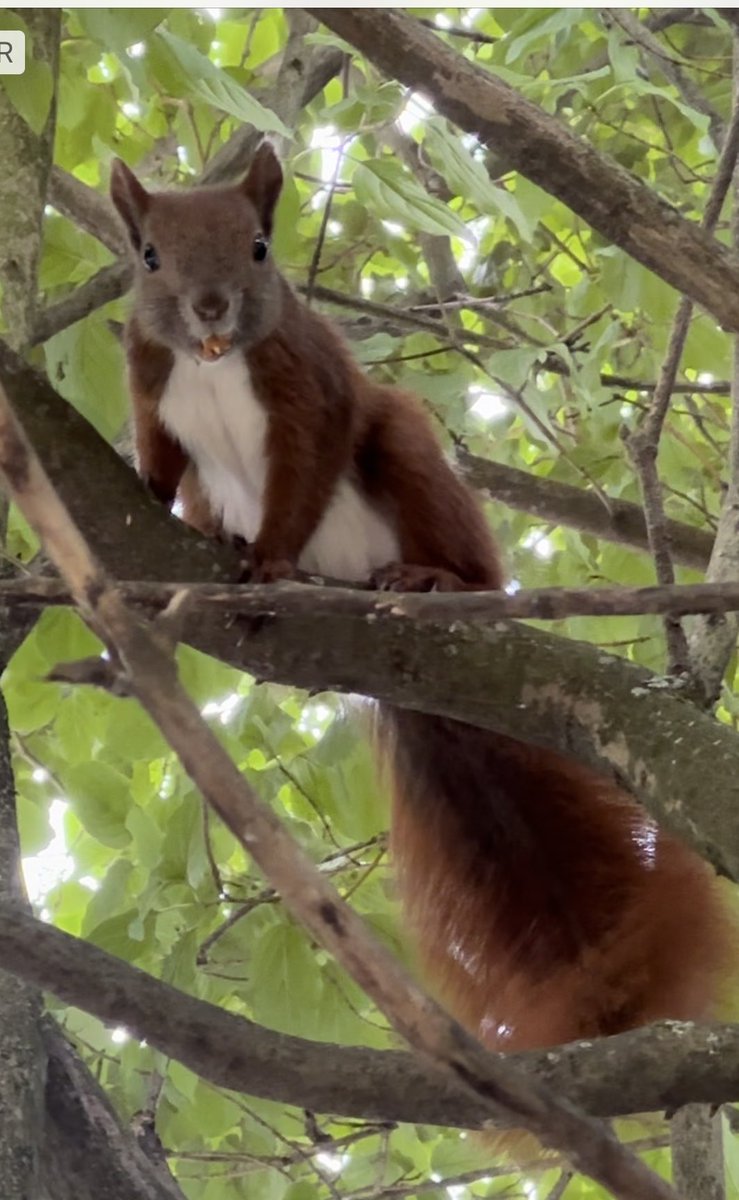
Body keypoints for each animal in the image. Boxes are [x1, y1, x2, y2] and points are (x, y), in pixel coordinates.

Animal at [111, 143, 735, 1054]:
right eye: (149, 257)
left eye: (260, 246)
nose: (211, 306)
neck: (214, 361)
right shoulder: (150, 380)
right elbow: (160, 455)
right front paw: (148, 504)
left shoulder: (311, 387)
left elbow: (307, 468)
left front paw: (270, 560)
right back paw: (226, 539)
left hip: (406, 453)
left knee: (458, 546)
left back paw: (435, 582)